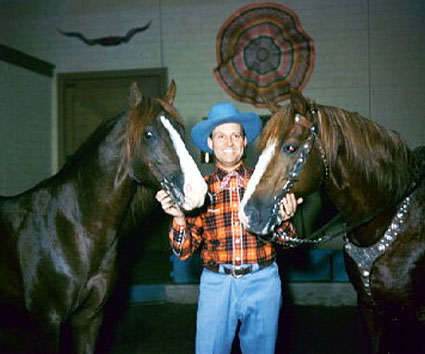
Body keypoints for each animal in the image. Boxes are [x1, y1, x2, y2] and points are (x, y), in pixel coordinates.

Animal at [0, 81, 206, 354]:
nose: (198, 191)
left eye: (181, 131)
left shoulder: (89, 318)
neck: (74, 228)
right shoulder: (47, 320)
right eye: (148, 134)